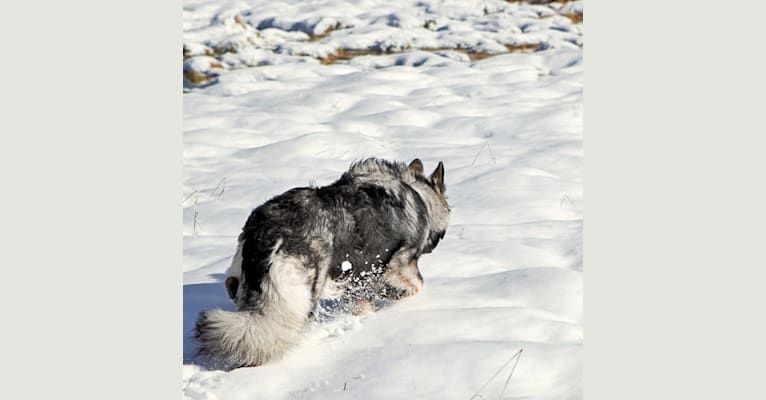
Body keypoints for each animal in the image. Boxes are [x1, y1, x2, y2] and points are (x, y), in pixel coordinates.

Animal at [195, 157, 452, 368]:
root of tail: (267, 230)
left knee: (234, 291)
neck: (420, 194)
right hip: (306, 288)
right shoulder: (400, 263)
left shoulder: (356, 279)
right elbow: (416, 286)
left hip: (246, 277)